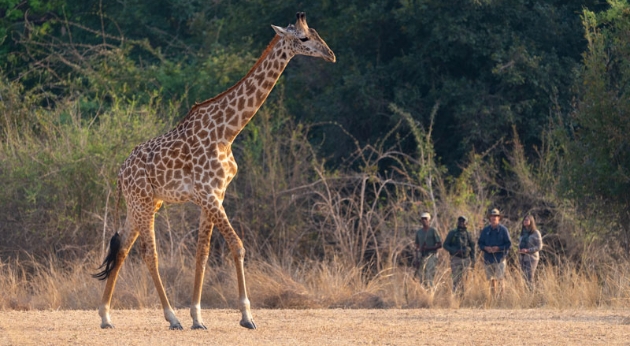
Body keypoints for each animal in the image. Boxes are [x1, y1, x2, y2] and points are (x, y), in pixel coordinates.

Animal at [93, 12, 336, 332]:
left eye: (317, 33)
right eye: (304, 38)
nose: (331, 55)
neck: (227, 131)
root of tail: (120, 173)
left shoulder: (215, 195)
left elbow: (202, 254)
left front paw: (198, 317)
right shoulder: (208, 194)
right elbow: (237, 246)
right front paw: (246, 316)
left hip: (144, 204)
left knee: (121, 247)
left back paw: (106, 316)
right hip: (143, 203)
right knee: (149, 254)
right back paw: (171, 317)